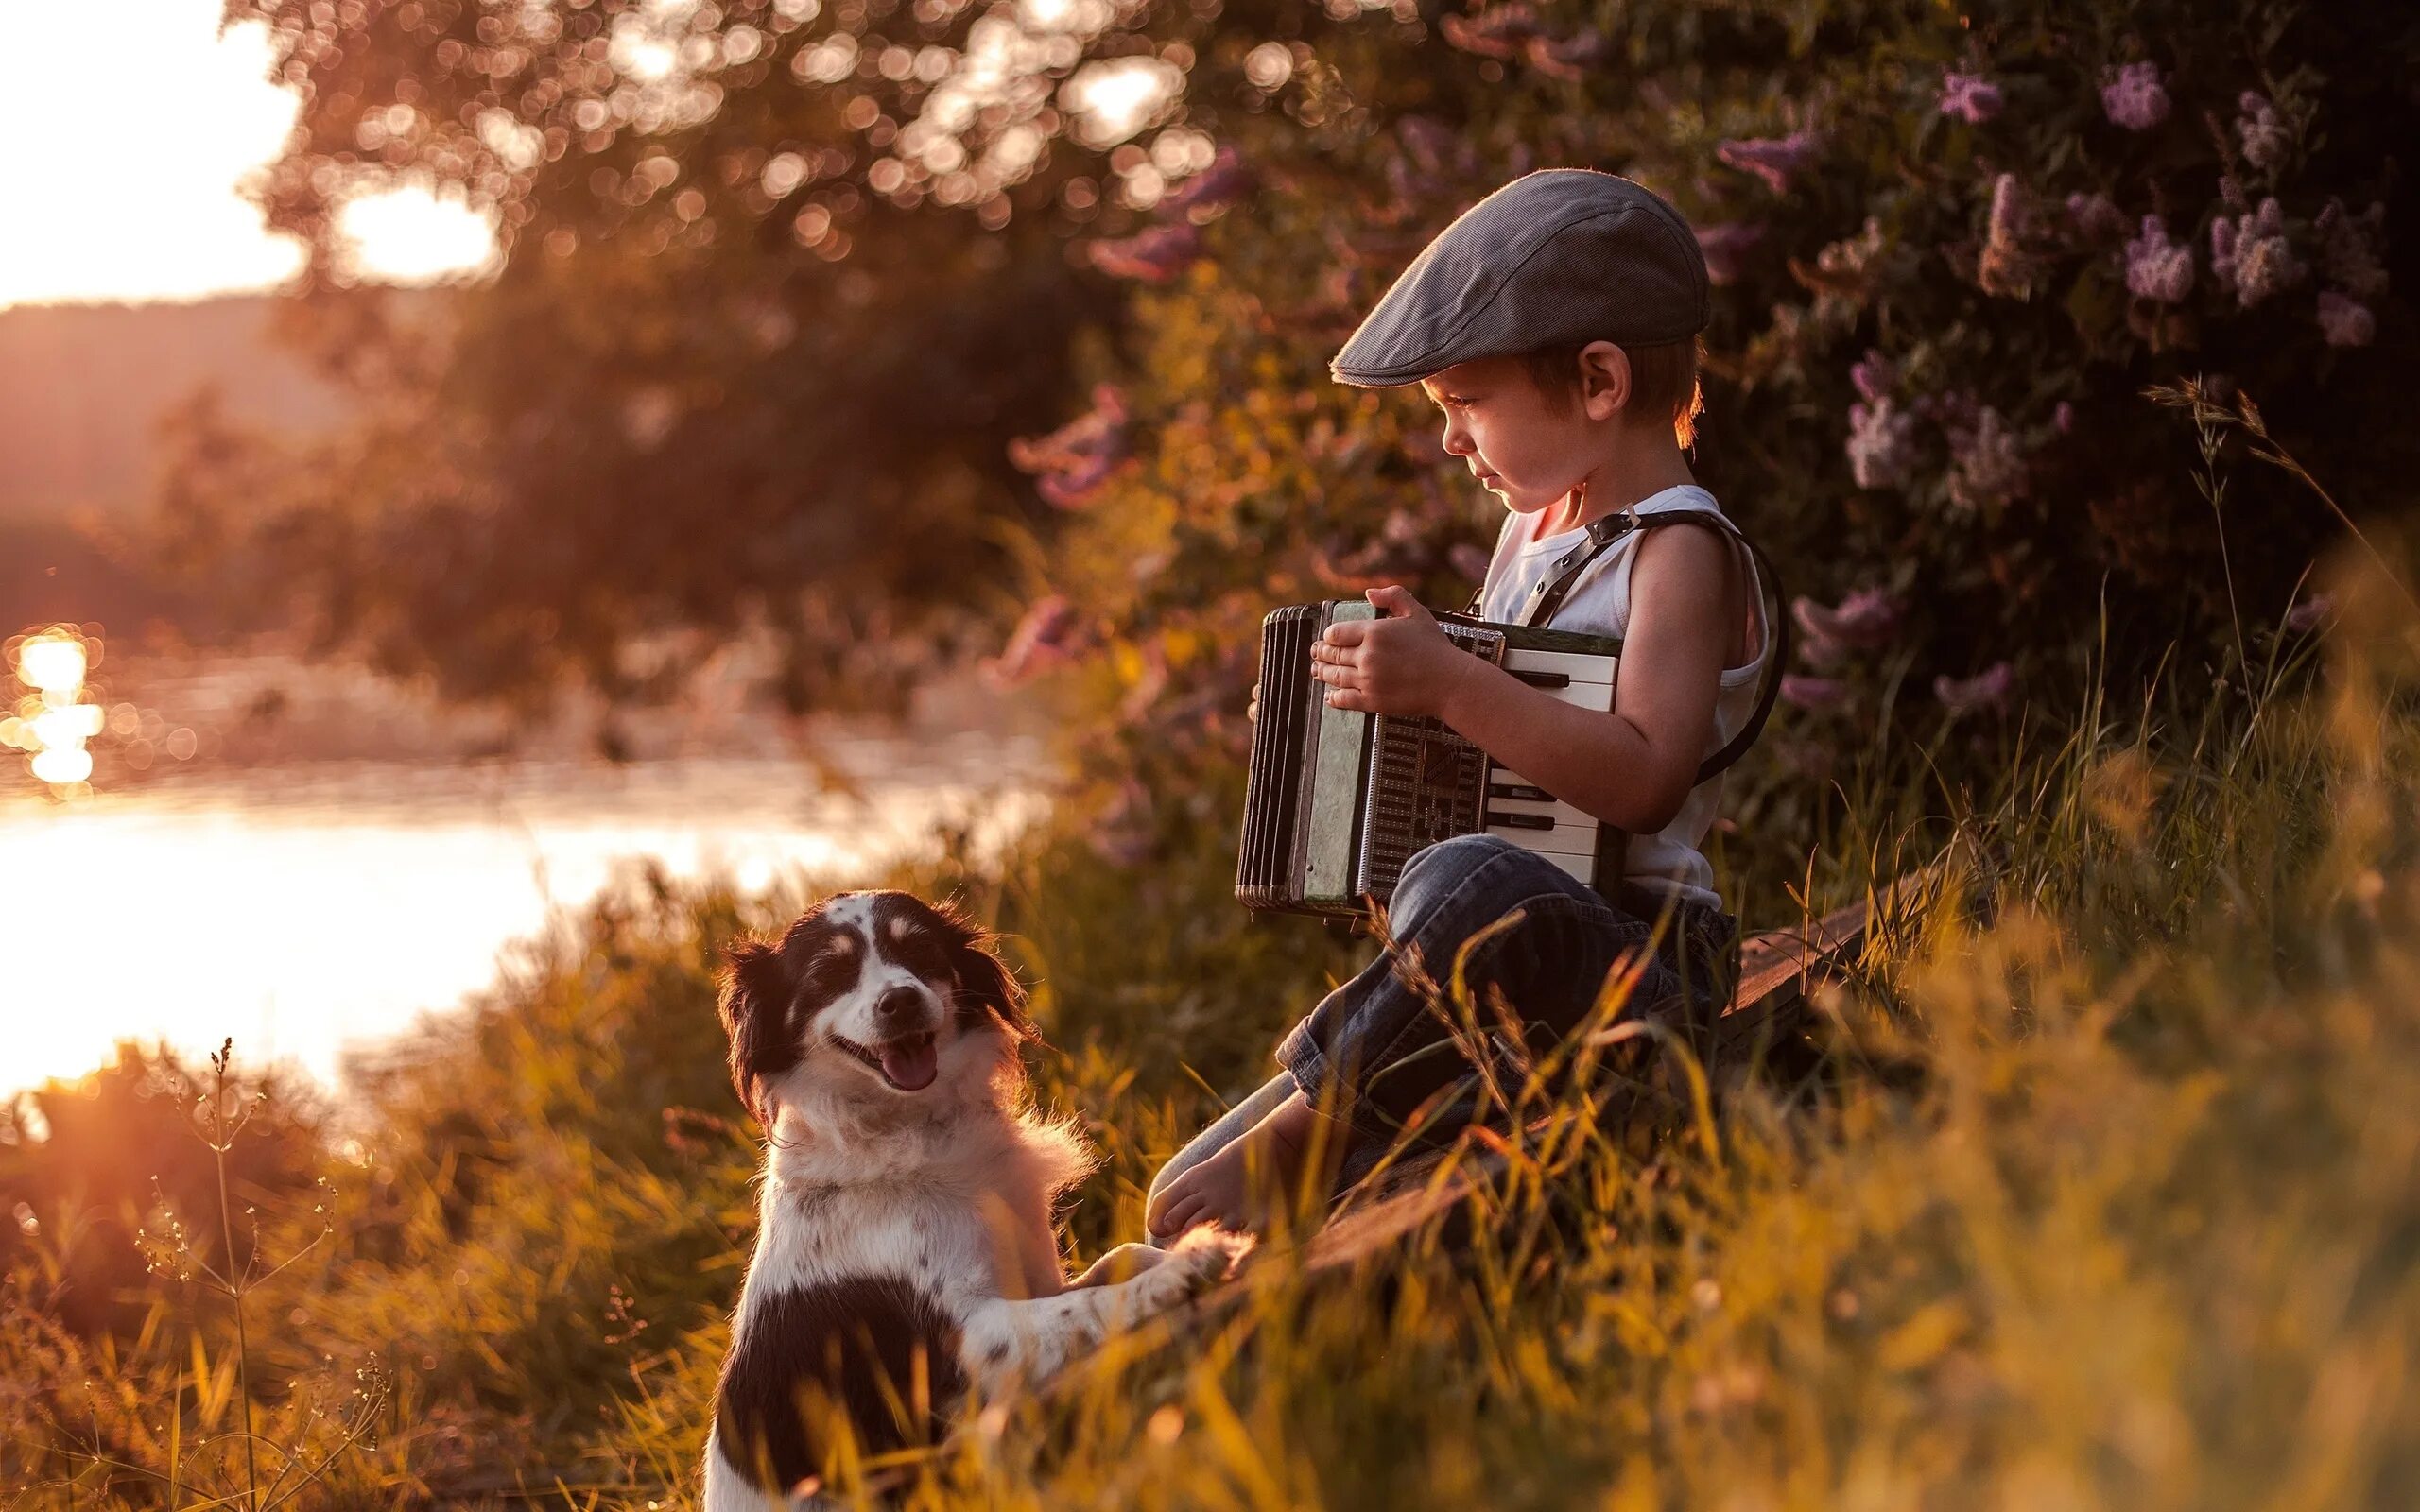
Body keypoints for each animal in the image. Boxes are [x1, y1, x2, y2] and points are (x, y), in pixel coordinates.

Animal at [697, 890, 1229, 1500]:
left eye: (921, 950)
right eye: (830, 973)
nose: (901, 1001)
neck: (914, 1127)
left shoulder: (1032, 1278)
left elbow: (1121, 1258)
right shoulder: (966, 1340)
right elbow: (1094, 1302)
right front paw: (1188, 1266)